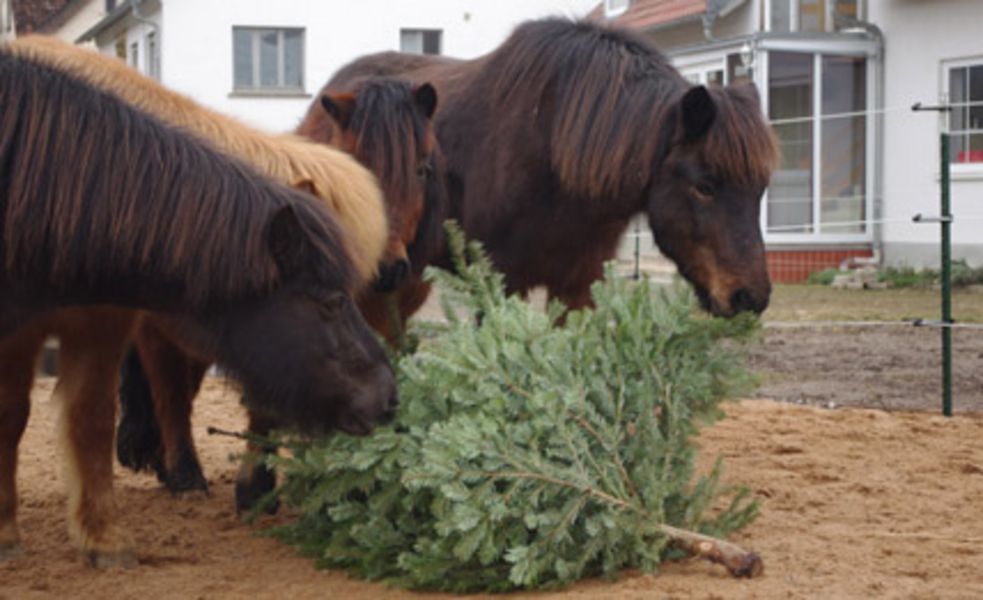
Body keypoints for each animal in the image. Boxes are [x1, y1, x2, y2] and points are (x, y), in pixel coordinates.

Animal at [0, 47, 396, 568]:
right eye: (332, 301)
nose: (389, 396)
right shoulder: (21, 334)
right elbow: (11, 417)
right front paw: (6, 535)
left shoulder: (100, 326)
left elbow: (92, 419)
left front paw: (104, 538)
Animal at [113, 74, 448, 506]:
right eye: (356, 168)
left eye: (422, 169)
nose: (387, 269)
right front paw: (253, 486)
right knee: (171, 394)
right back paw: (184, 474)